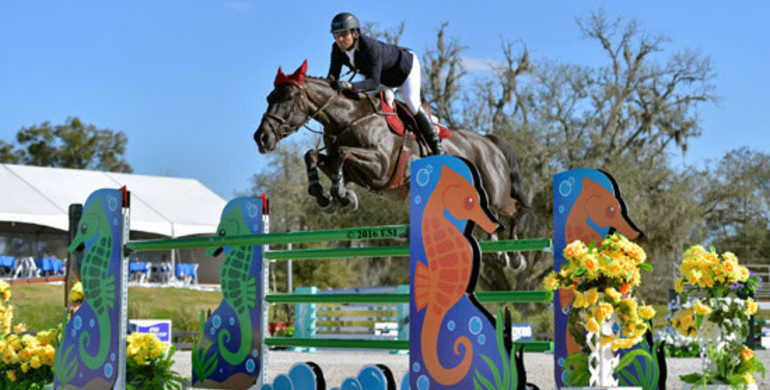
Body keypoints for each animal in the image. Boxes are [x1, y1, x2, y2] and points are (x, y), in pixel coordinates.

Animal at [252, 62, 528, 272]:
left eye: (288, 98)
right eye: (268, 98)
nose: (261, 138)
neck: (349, 118)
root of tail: (488, 141)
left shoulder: (381, 168)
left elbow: (342, 153)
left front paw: (340, 196)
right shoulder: (350, 171)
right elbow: (312, 155)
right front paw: (326, 196)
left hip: (496, 193)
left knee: (515, 209)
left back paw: (515, 255)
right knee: (488, 215)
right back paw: (499, 251)